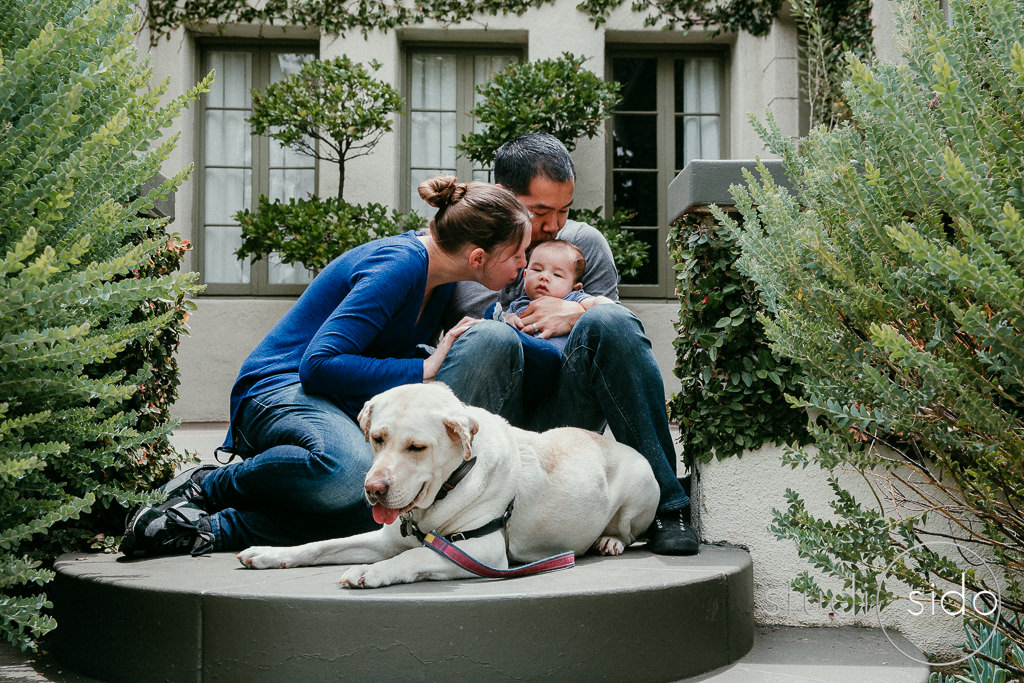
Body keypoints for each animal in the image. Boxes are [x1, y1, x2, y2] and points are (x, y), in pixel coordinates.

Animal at [236, 385, 659, 589]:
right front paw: (270, 553)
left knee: (627, 531)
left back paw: (609, 541)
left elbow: (414, 557)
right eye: (377, 438)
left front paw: (370, 573)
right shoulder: (386, 538)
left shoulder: (482, 551)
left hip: (642, 488)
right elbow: (322, 545)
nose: (373, 488)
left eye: (417, 447)